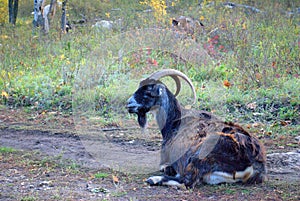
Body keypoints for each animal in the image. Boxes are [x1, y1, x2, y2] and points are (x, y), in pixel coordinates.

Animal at [125, 69, 266, 188]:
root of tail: (253, 162)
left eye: (148, 92)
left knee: (187, 181)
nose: (128, 104)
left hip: (203, 152)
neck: (176, 121)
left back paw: (154, 179)